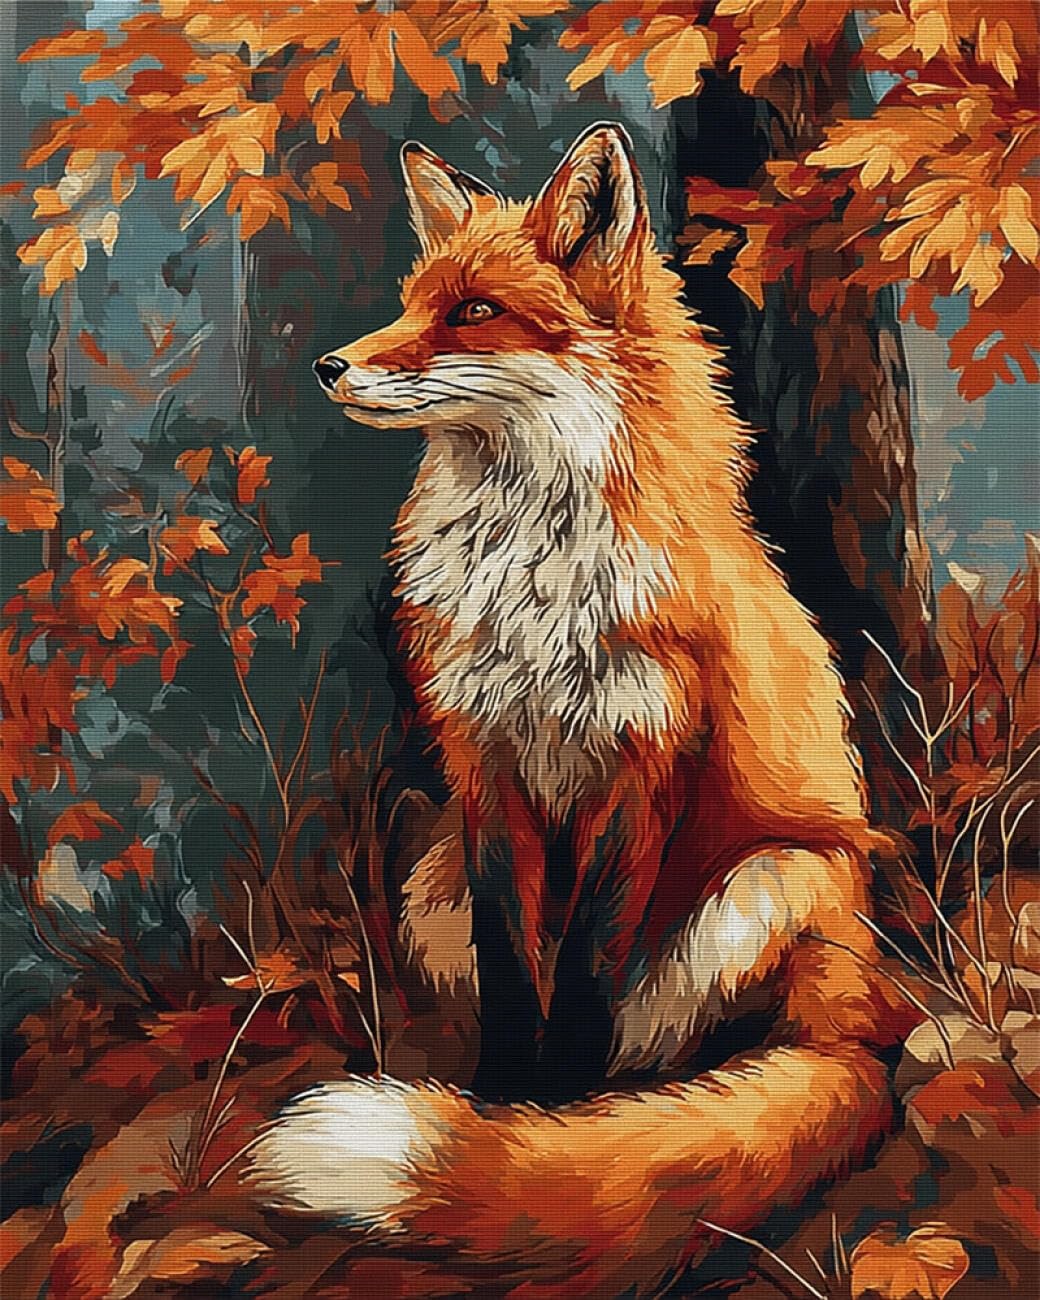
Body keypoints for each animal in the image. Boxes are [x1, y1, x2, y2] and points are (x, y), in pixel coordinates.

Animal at [243, 123, 911, 1297]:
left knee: (682, 1042)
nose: (331, 366)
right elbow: (520, 965)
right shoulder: (485, 769)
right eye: (412, 301)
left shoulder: (641, 767)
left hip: (771, 879)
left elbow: (590, 973)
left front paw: (546, 1132)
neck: (535, 579)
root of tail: (859, 1019)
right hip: (427, 884)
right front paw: (505, 1109)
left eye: (472, 312)